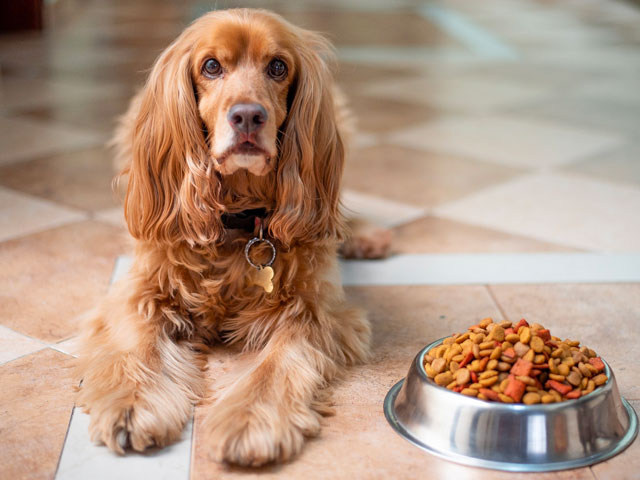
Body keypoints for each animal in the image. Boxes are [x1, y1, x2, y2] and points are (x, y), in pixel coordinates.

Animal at [75, 8, 376, 464]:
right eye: (212, 66)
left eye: (278, 67)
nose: (248, 116)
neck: (238, 220)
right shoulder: (141, 292)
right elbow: (139, 344)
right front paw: (132, 405)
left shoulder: (313, 311)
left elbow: (276, 365)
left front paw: (250, 421)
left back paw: (364, 237)